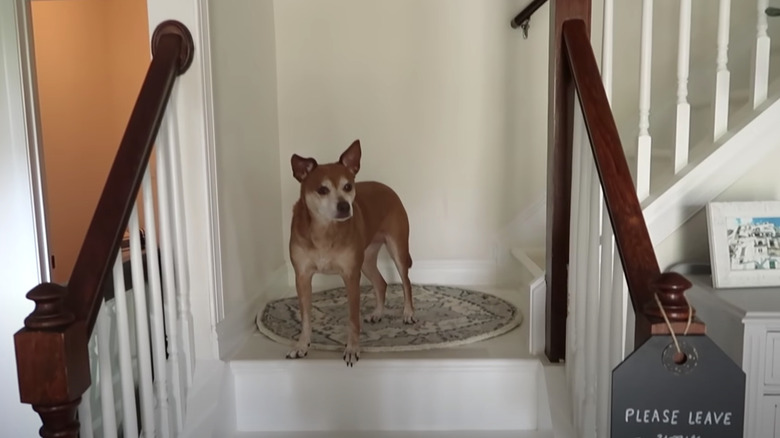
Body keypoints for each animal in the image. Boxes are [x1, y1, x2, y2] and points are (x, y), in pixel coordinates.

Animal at [286, 140, 414, 366]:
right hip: (366, 259)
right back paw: (378, 313)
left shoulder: (351, 275)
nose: (345, 206)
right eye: (322, 189)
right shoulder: (302, 276)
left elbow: (353, 319)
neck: (324, 231)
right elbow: (306, 317)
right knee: (381, 283)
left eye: (348, 186)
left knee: (406, 282)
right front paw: (302, 345)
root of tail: (387, 188)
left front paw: (352, 349)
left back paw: (408, 313)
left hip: (397, 248)